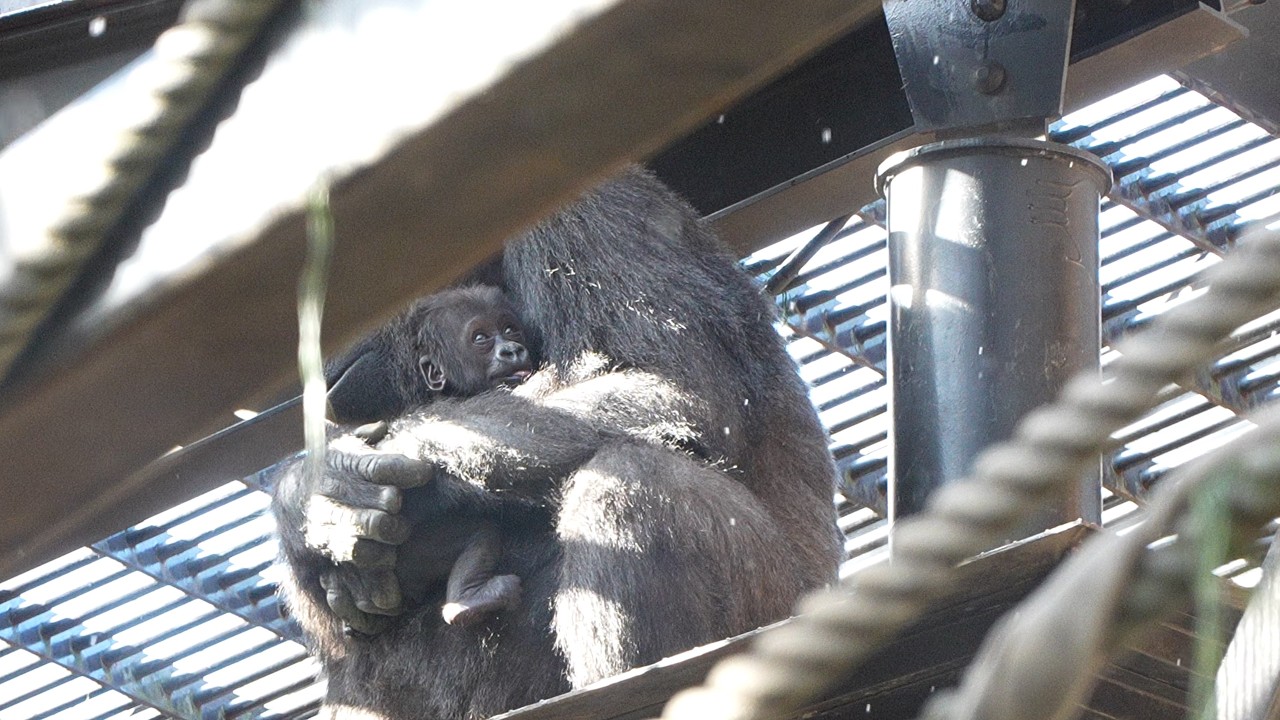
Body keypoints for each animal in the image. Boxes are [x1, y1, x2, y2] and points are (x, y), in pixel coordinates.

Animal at [270, 166, 842, 720]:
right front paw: (310, 499)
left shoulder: (587, 211)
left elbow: (673, 383)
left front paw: (358, 483)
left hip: (774, 612)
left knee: (630, 480)